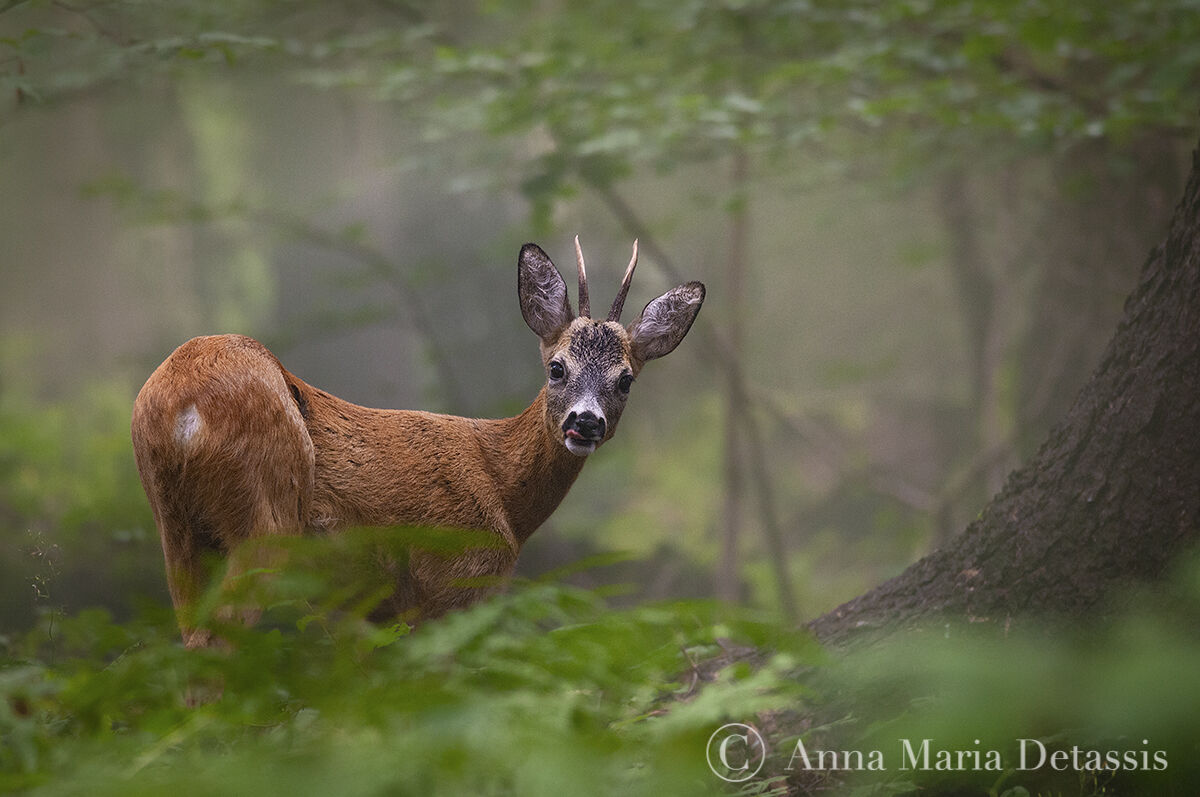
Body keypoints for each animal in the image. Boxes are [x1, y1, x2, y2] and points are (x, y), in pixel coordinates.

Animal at [131, 238, 705, 648]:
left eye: (625, 379)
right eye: (557, 367)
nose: (585, 422)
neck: (505, 496)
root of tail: (178, 406)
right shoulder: (455, 578)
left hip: (176, 527)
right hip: (265, 516)